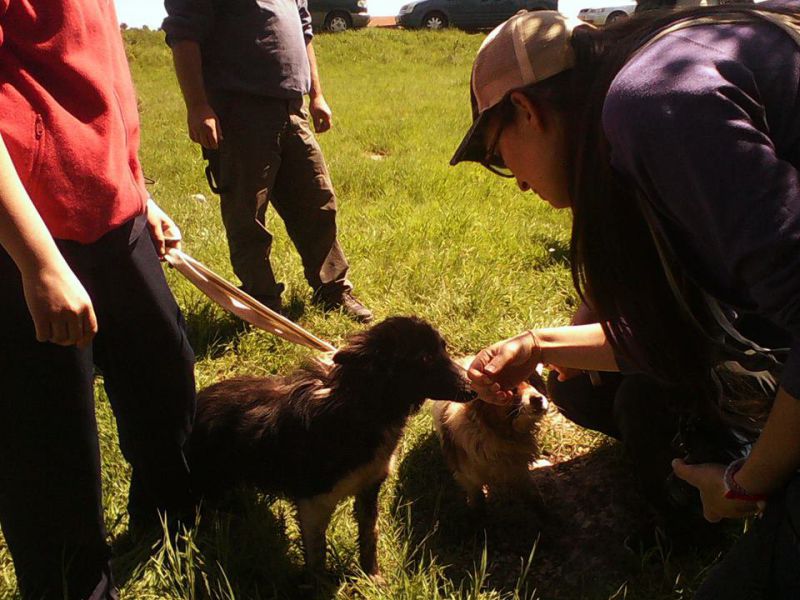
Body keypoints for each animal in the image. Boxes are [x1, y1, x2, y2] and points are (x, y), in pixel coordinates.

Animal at [188, 316, 476, 580]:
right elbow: (317, 556)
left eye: (443, 348)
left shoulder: (369, 487)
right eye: (425, 358)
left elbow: (369, 536)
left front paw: (372, 578)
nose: (474, 388)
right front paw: (319, 586)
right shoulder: (313, 502)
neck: (366, 408)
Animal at [432, 358, 552, 508]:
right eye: (511, 389)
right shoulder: (469, 478)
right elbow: (477, 499)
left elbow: (533, 493)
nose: (538, 399)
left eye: (531, 382)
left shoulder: (520, 470)